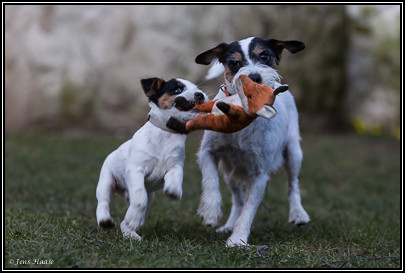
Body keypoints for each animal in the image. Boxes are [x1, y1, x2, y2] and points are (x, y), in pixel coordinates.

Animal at [96, 75, 207, 239]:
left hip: (150, 197)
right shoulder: (136, 170)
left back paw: (130, 232)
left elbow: (176, 177)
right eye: (177, 89)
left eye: (197, 88)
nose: (200, 94)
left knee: (131, 217)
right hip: (106, 180)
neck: (166, 134)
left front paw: (173, 190)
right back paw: (105, 220)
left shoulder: (175, 165)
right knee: (103, 201)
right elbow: (139, 198)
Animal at [193, 37, 310, 248]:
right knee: (237, 199)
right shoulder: (208, 153)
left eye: (264, 56)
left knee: (293, 185)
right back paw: (228, 224)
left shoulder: (260, 174)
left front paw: (237, 239)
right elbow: (210, 180)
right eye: (234, 62)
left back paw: (298, 213)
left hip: (294, 153)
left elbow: (248, 210)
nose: (254, 77)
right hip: (229, 171)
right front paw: (211, 211)